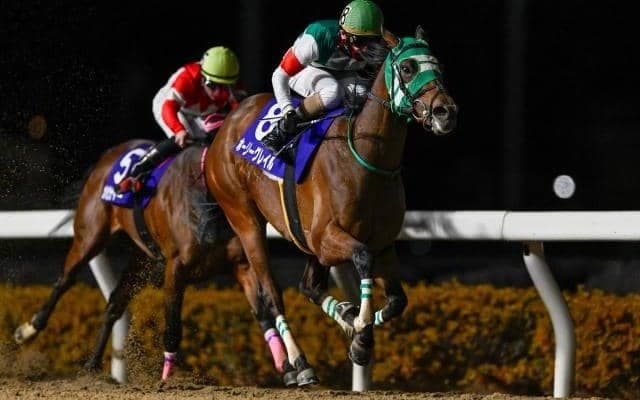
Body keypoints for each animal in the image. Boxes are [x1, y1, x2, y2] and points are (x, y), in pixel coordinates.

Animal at [12, 138, 303, 386]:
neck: (211, 201)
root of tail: (109, 155)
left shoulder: (241, 264)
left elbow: (261, 310)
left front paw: (289, 368)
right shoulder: (176, 268)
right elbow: (173, 325)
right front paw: (166, 379)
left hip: (142, 257)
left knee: (114, 303)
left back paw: (92, 365)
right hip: (90, 235)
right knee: (65, 280)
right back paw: (28, 330)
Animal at [203, 26, 458, 380]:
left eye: (441, 67)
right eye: (407, 68)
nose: (446, 112)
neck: (365, 156)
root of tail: (227, 125)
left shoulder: (381, 243)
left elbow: (397, 300)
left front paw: (359, 331)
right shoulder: (328, 238)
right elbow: (362, 259)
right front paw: (361, 333)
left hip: (304, 236)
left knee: (309, 286)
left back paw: (344, 316)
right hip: (245, 220)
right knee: (271, 293)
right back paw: (299, 364)